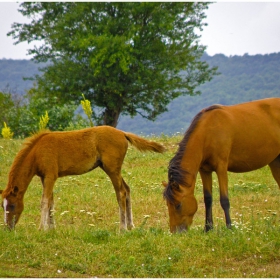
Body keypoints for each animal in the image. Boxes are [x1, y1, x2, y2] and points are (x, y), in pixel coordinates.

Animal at [1, 126, 165, 231]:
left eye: (12, 206)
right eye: (3, 206)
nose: (8, 227)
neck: (37, 152)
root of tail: (122, 133)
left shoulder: (50, 176)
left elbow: (44, 202)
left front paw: (42, 228)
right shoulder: (45, 178)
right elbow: (51, 202)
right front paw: (52, 228)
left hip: (112, 169)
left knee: (121, 193)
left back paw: (122, 228)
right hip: (110, 169)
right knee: (127, 189)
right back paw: (131, 226)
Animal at [163, 97, 280, 233]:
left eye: (178, 205)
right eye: (167, 204)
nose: (175, 232)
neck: (208, 132)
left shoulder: (221, 168)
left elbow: (224, 199)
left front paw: (229, 227)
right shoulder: (204, 171)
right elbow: (208, 199)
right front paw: (208, 228)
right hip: (275, 162)